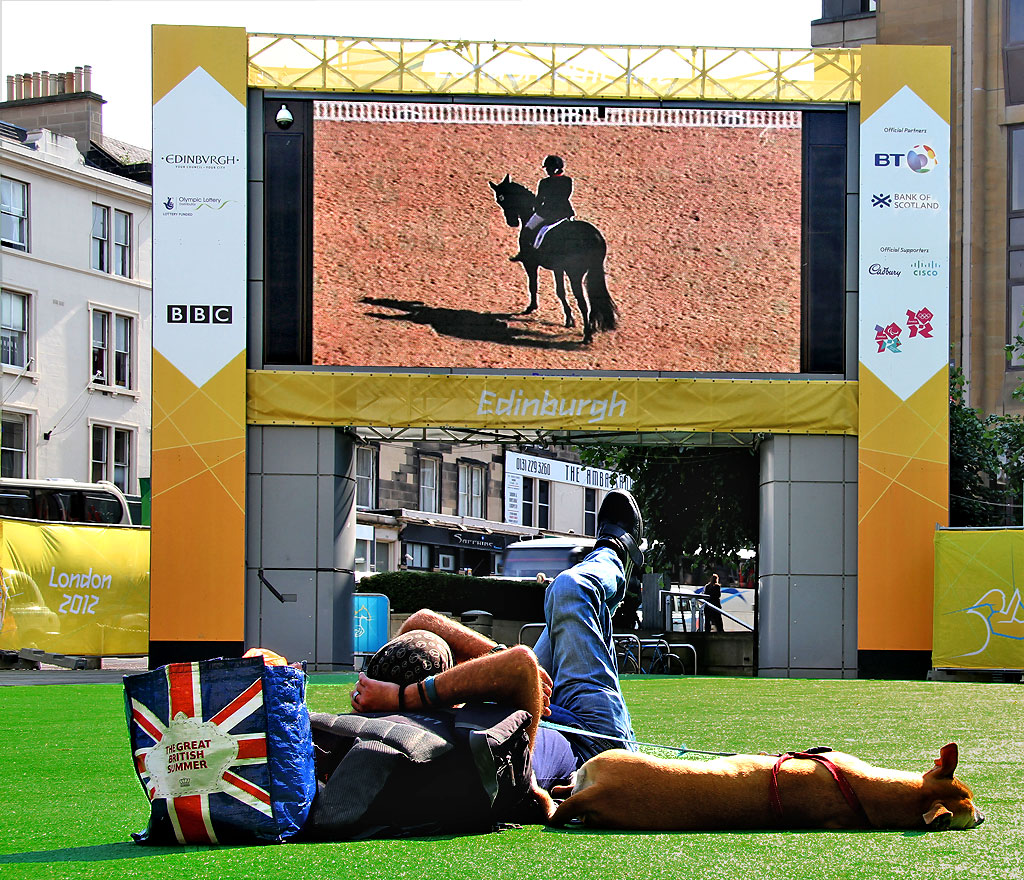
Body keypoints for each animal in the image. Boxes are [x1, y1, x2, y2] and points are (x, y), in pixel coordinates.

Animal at [487, 174, 614, 344]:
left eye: (501, 199)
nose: (511, 222)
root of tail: (594, 237)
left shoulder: (530, 263)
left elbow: (533, 285)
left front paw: (531, 307)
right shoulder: (558, 268)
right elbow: (560, 291)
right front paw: (569, 319)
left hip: (575, 274)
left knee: (583, 303)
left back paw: (587, 335)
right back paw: (592, 329)